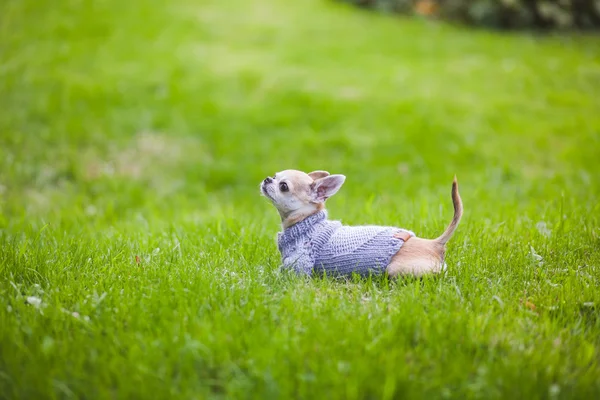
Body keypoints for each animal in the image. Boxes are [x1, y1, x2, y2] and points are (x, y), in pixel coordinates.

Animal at [258, 170, 464, 278]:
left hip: (395, 269)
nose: (267, 179)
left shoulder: (298, 268)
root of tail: (434, 244)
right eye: (275, 176)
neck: (308, 223)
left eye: (283, 186)